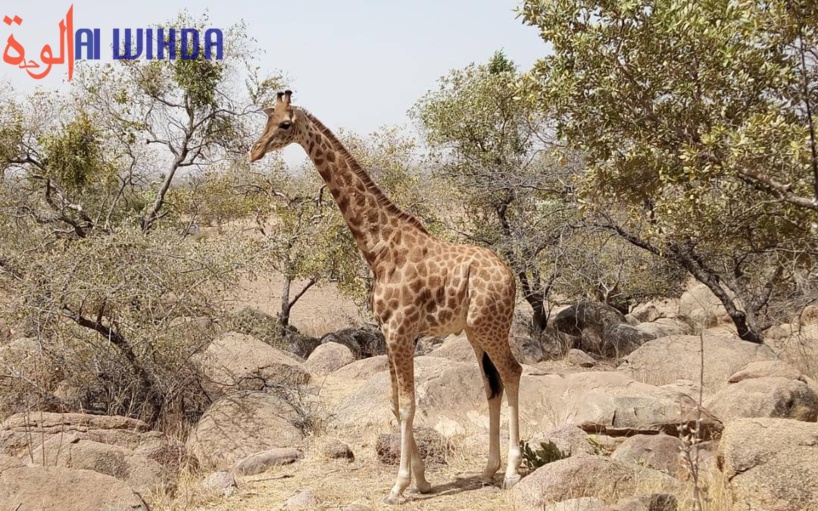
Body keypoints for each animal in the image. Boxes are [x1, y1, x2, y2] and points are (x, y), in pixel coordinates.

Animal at [249, 90, 523, 504]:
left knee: (513, 373)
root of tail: (510, 275)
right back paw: (489, 469)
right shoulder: (388, 332)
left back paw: (510, 473)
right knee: (492, 386)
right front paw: (422, 481)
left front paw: (398, 486)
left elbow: (407, 405)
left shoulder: (400, 331)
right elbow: (394, 403)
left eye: (284, 124)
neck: (378, 249)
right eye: (265, 118)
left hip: (490, 326)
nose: (254, 151)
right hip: (475, 332)